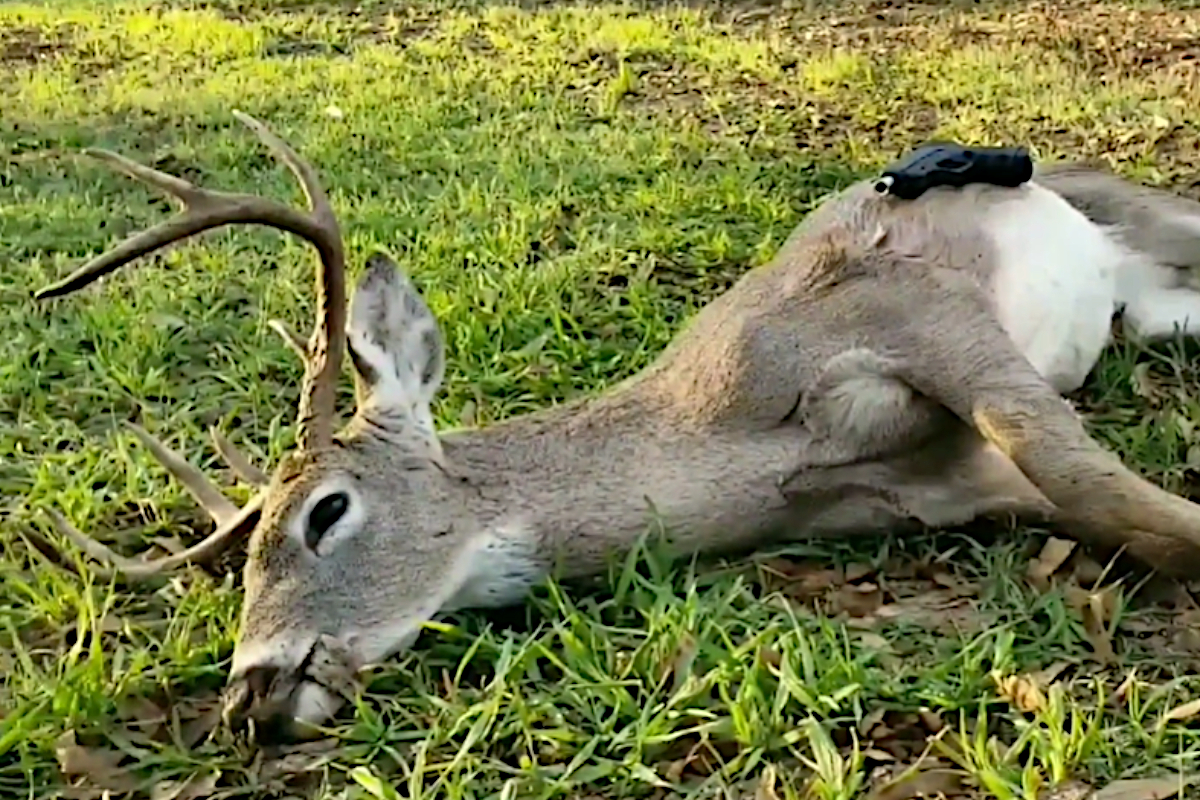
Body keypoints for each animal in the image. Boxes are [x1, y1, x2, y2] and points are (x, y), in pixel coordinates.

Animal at [28, 110, 1200, 743]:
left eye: (327, 511)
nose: (250, 691)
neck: (744, 448)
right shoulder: (943, 487)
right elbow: (1114, 508)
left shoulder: (911, 304)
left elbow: (1098, 483)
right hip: (1143, 301)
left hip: (1132, 208)